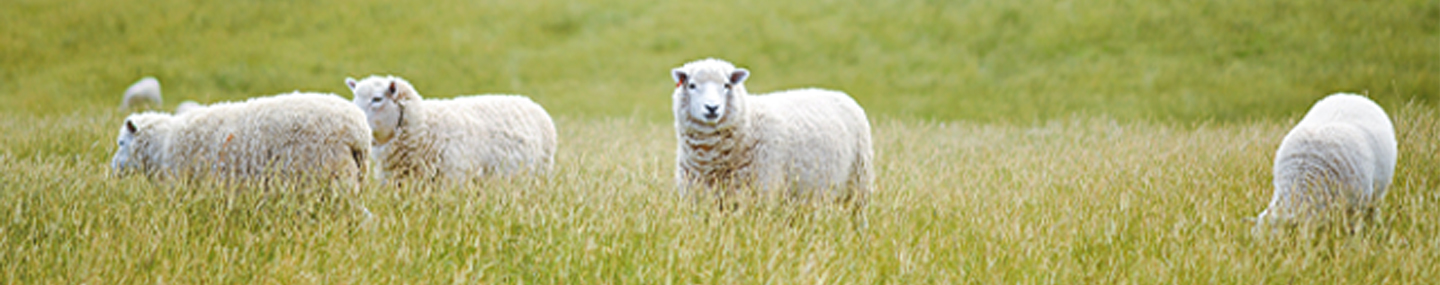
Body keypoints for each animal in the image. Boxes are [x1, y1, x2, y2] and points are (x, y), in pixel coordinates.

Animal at [665, 57, 875, 213]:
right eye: (692, 85)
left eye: (726, 85)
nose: (712, 108)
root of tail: (842, 95)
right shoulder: (698, 197)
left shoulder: (758, 193)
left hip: (859, 181)